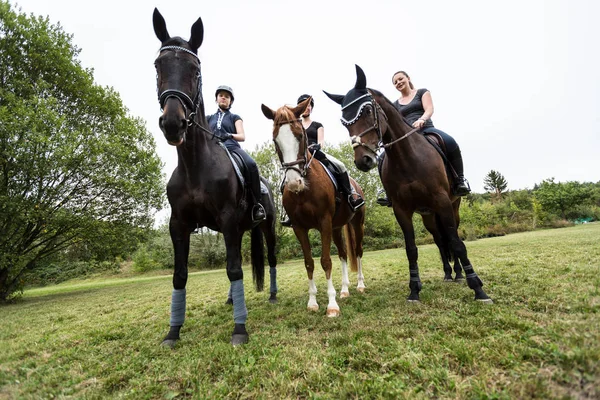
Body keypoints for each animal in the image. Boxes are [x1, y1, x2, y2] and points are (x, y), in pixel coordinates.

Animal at [152, 9, 278, 346]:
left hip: (267, 226)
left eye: (195, 69)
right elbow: (180, 275)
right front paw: (173, 331)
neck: (195, 165)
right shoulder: (179, 225)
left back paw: (272, 295)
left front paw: (239, 329)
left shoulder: (229, 219)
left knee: (271, 259)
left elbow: (235, 270)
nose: (173, 123)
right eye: (158, 66)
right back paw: (233, 300)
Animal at [262, 97, 366, 316]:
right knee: (344, 254)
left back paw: (360, 285)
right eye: (275, 140)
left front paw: (332, 306)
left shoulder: (324, 222)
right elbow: (309, 263)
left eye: (300, 136)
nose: (294, 183)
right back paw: (345, 290)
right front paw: (312, 302)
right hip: (337, 228)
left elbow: (325, 261)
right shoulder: (299, 228)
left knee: (358, 251)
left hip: (357, 224)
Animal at [324, 65, 492, 304]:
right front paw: (414, 290)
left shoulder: (442, 202)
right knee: (439, 240)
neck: (407, 158)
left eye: (367, 111)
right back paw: (448, 274)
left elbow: (457, 243)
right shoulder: (401, 210)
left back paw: (459, 275)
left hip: (452, 207)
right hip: (428, 215)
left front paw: (478, 288)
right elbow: (411, 249)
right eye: (344, 122)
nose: (363, 160)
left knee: (453, 238)